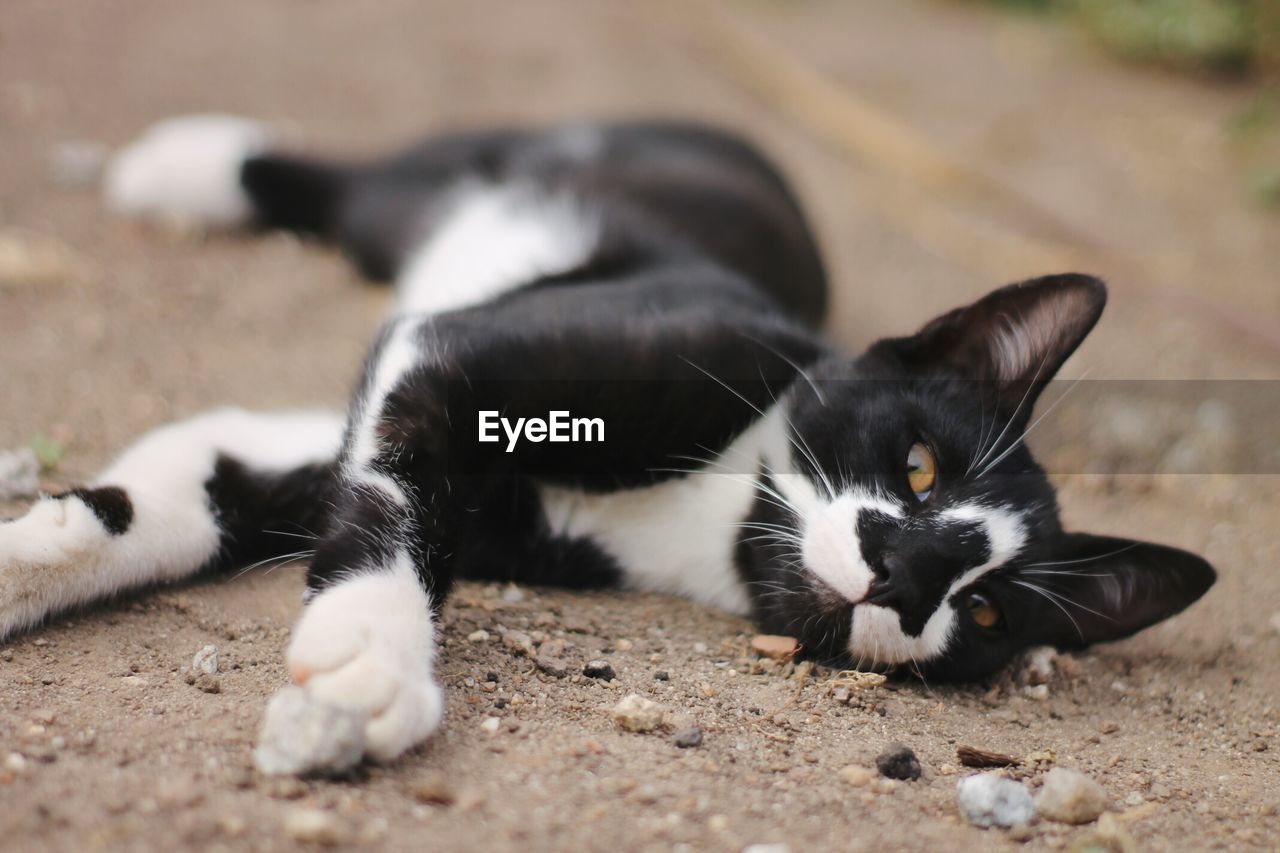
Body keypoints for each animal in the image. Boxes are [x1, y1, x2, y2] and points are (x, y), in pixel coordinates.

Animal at [0, 116, 1213, 758]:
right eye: (917, 465)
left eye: (987, 609)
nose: (908, 577)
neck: (719, 507)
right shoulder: (455, 352)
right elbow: (399, 494)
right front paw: (374, 647)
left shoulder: (339, 443)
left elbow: (200, 483)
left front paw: (31, 557)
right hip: (472, 187)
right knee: (366, 187)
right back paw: (190, 166)